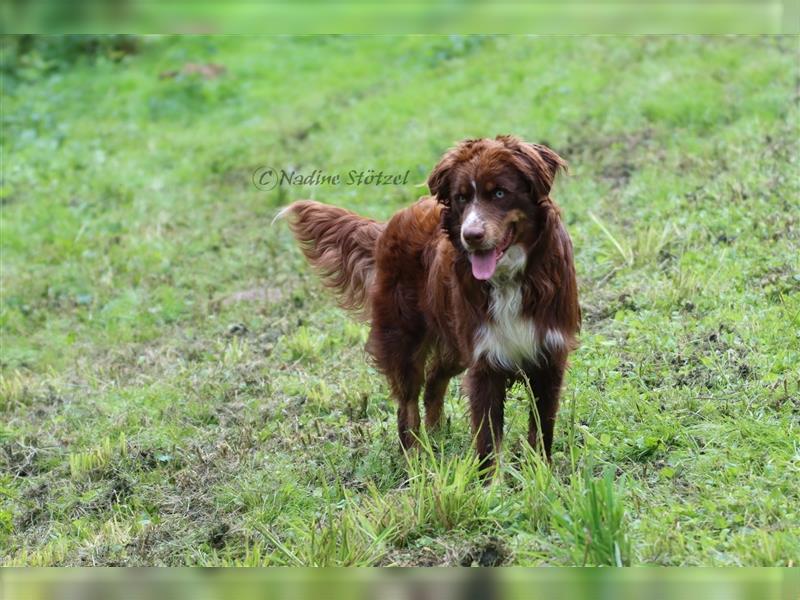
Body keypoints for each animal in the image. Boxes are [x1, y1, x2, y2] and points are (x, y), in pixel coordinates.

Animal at [278, 136, 580, 468]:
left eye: (499, 193)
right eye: (461, 198)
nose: (471, 236)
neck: (510, 278)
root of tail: (387, 225)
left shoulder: (548, 354)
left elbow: (542, 428)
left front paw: (542, 471)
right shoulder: (484, 359)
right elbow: (488, 441)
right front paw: (491, 481)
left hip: (453, 343)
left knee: (434, 381)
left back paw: (437, 436)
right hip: (404, 337)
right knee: (407, 402)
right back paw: (415, 457)